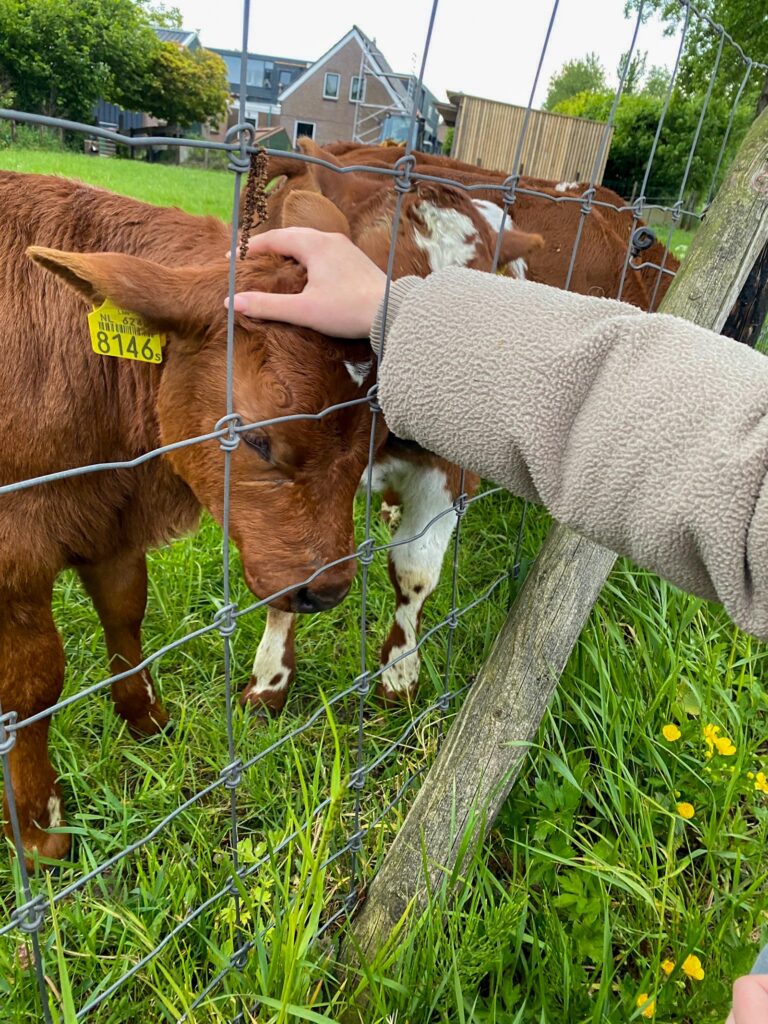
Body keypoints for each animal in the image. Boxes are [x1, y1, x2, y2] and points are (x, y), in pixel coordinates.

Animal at [0, 172, 384, 865]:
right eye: (255, 440)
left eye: (378, 436)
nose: (329, 589)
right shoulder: (16, 546)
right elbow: (33, 686)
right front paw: (41, 830)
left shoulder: (109, 520)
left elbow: (126, 612)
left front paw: (146, 720)